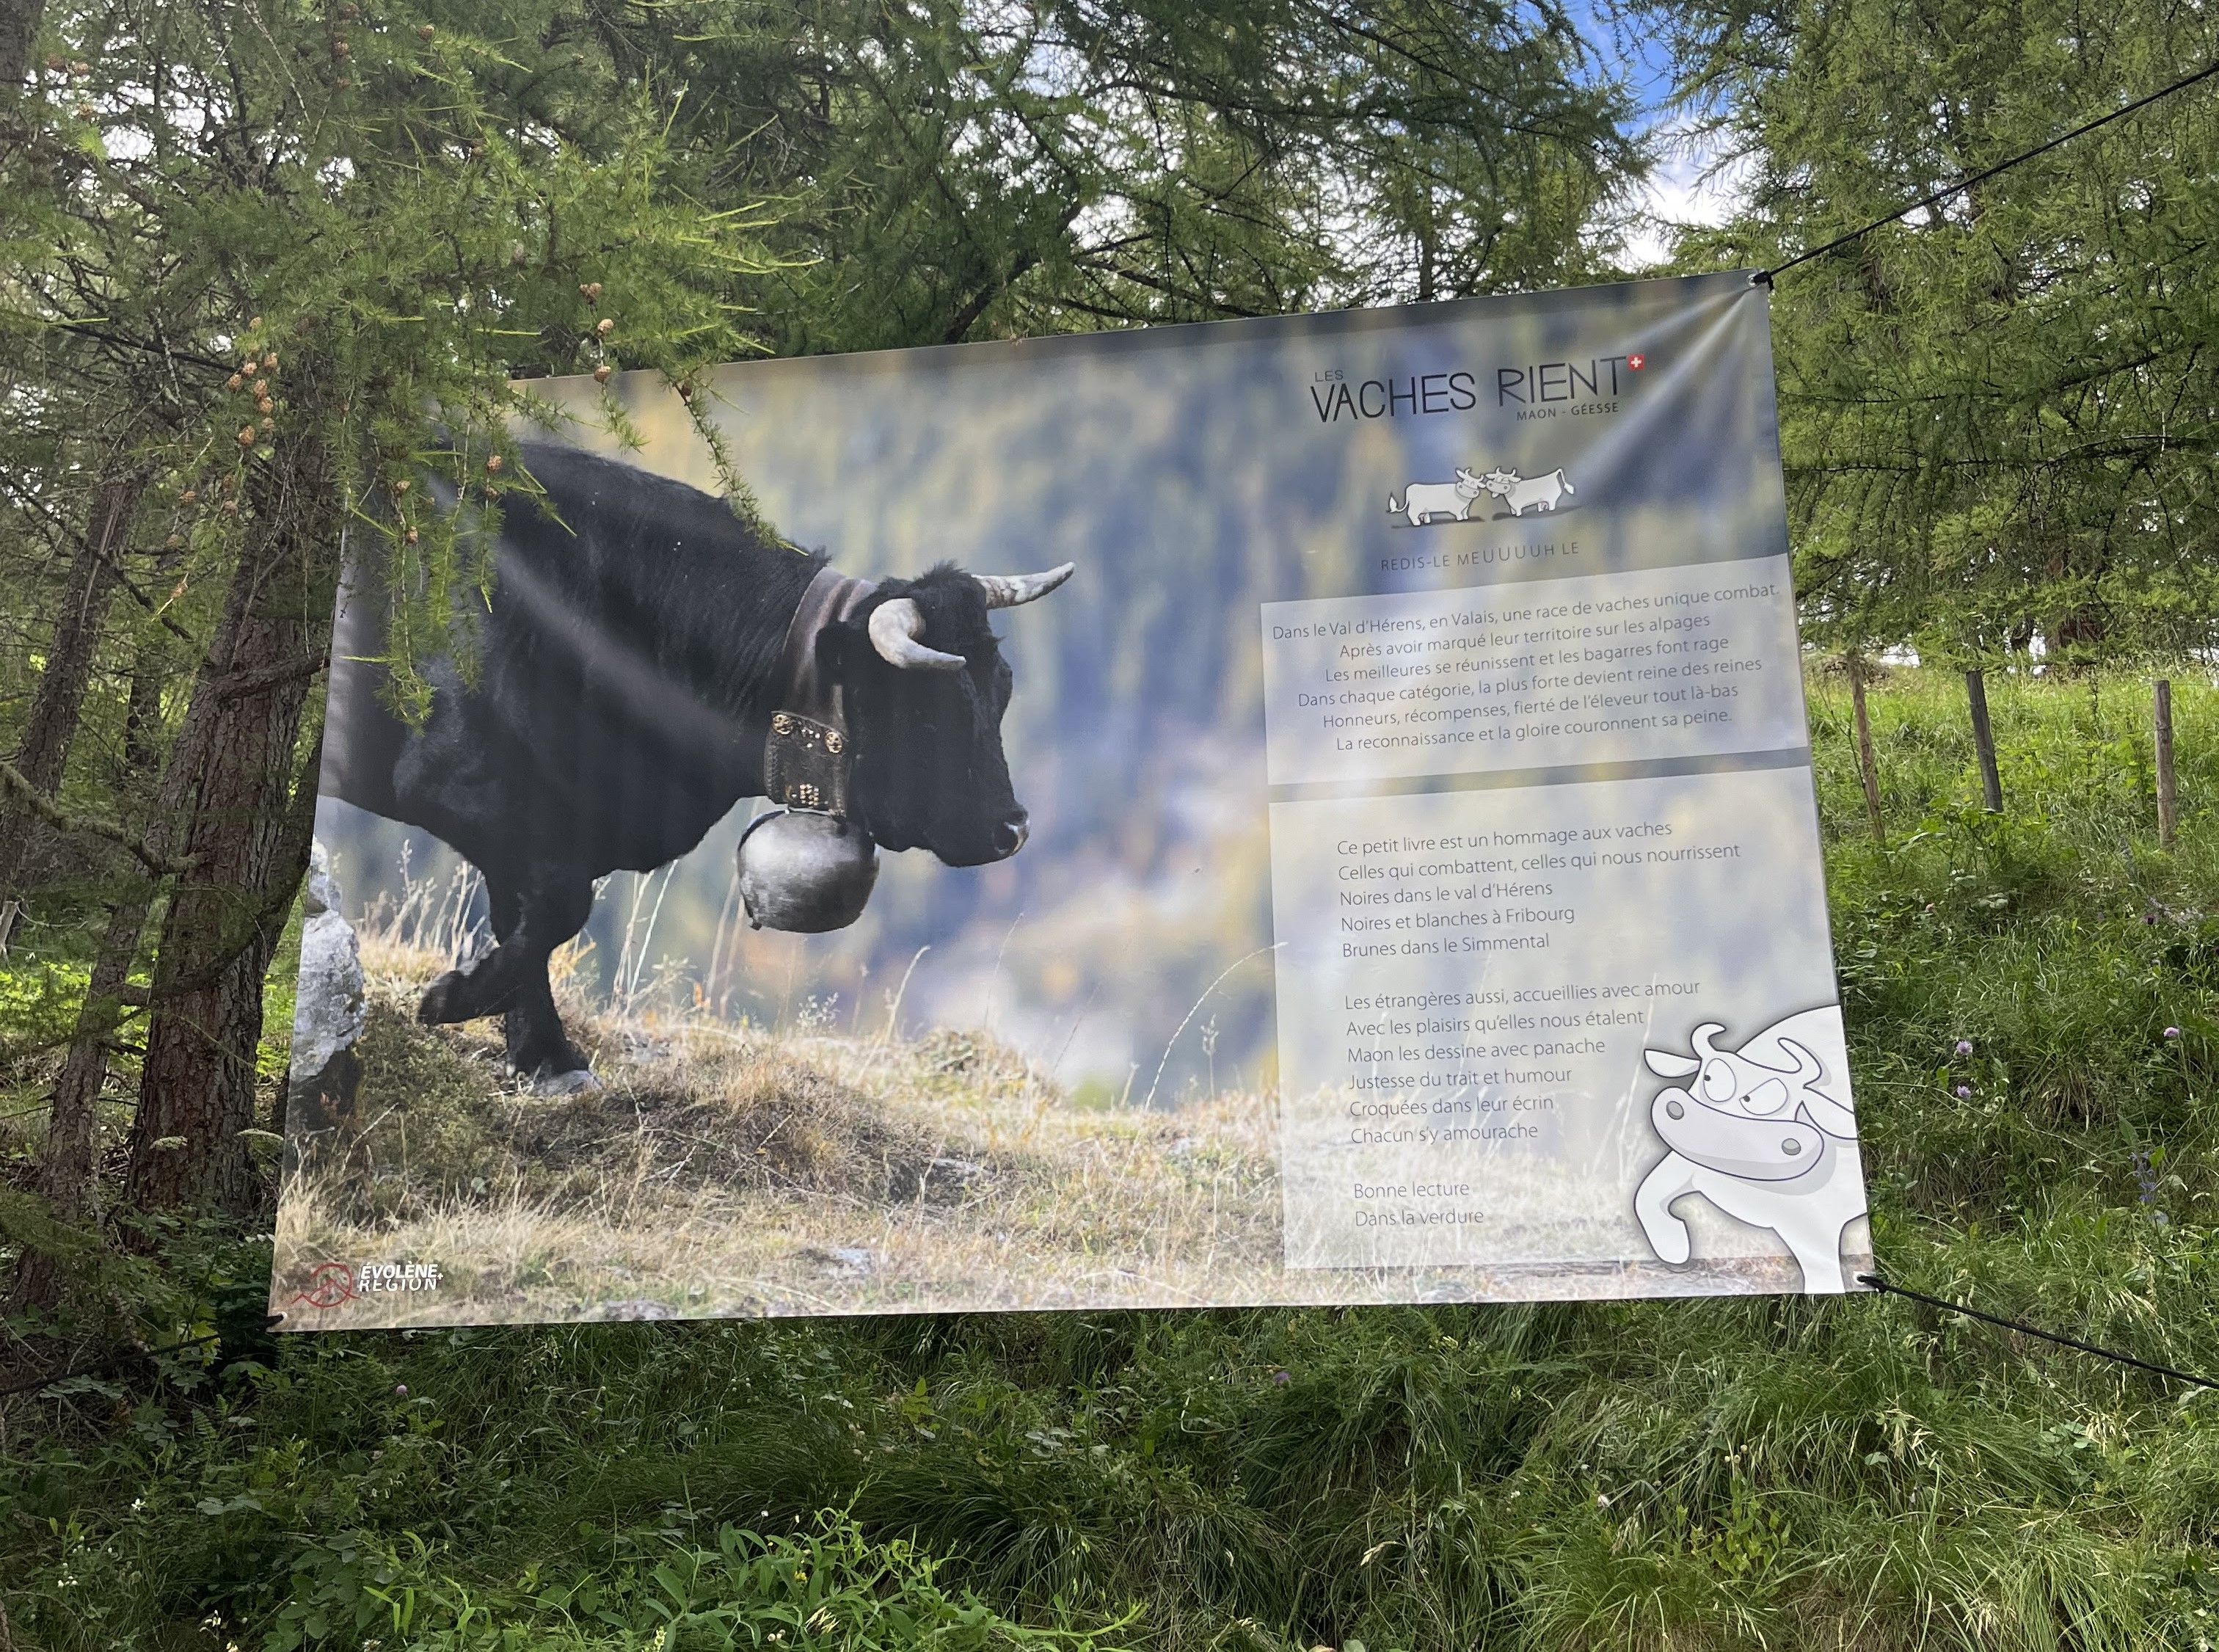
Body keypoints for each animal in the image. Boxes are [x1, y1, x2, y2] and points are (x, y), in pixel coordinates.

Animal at [317, 442, 1069, 1083]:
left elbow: (528, 920)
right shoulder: (463, 786)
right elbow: (559, 906)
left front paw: (544, 1058)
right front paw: (460, 1001)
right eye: (927, 712)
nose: (1014, 828)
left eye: (1002, 685)